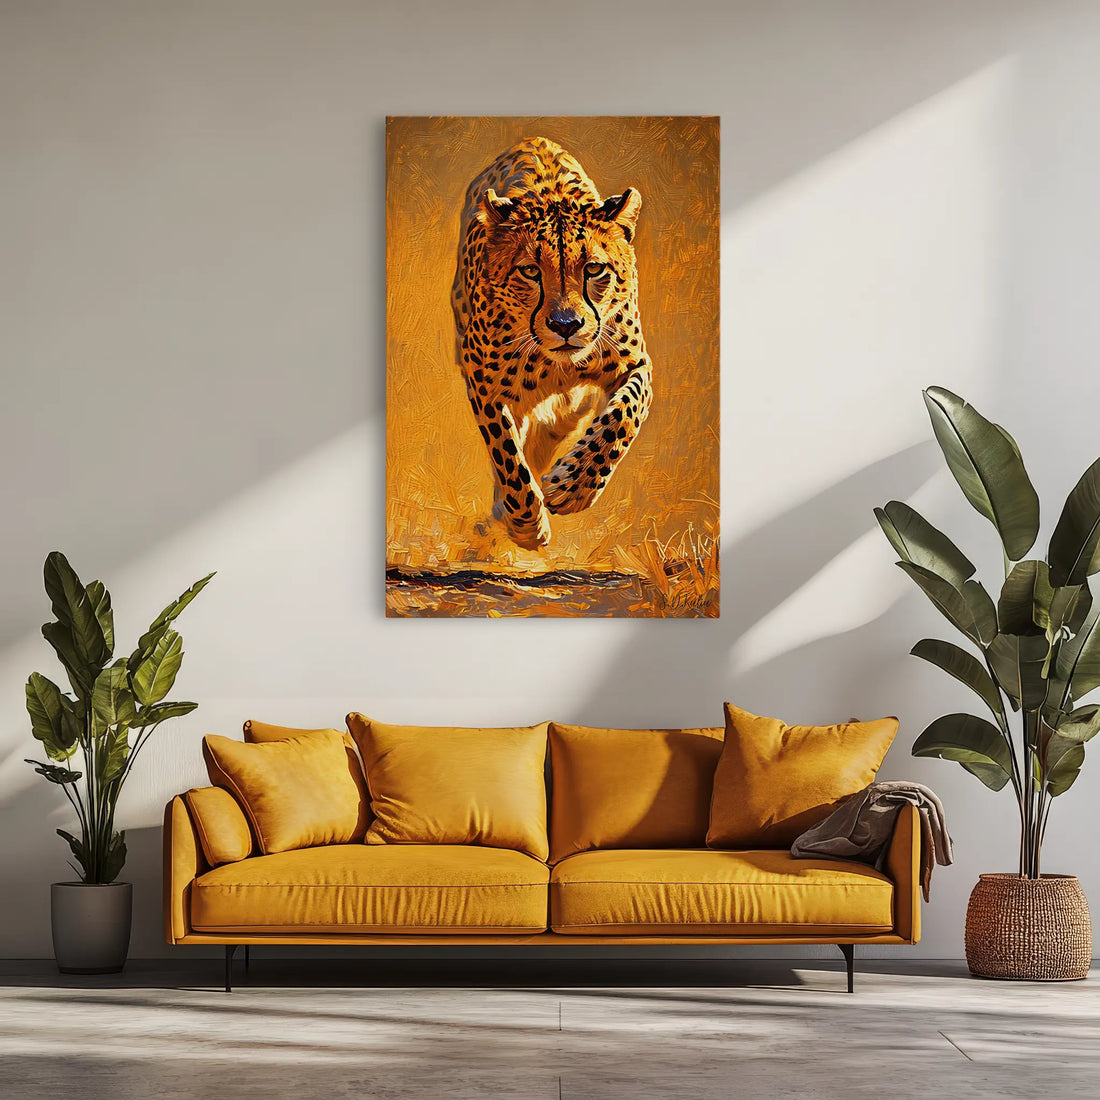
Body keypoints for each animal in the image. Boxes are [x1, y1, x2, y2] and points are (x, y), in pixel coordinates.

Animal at [451, 136, 653, 550]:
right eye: (530, 270)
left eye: (594, 269)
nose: (565, 325)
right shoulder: (483, 386)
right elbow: (507, 457)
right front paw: (527, 525)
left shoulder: (636, 364)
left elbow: (624, 416)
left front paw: (571, 487)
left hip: (568, 413)